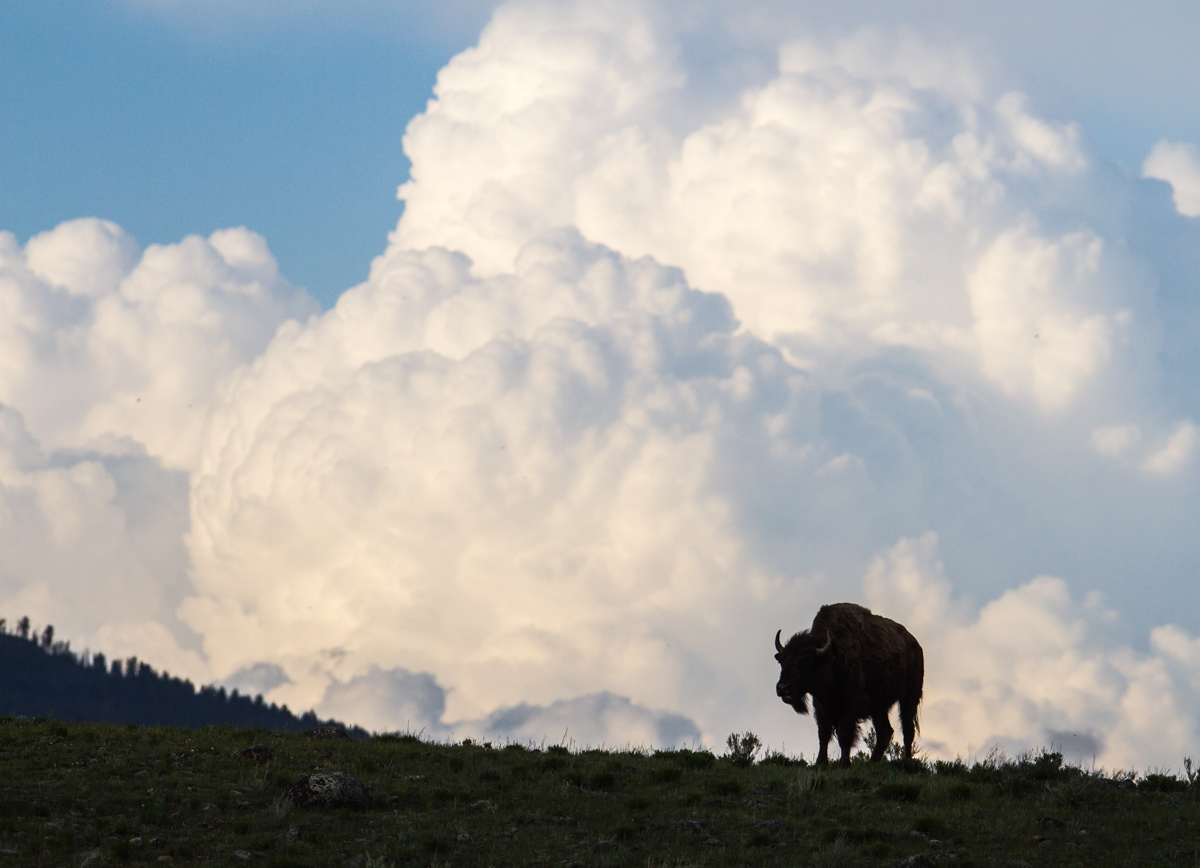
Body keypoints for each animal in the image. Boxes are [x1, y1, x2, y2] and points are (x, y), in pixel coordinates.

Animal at [774, 602, 923, 767]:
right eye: (782, 661)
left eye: (806, 661)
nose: (782, 688)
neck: (830, 657)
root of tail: (915, 645)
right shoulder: (821, 708)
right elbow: (824, 734)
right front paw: (820, 762)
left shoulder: (849, 709)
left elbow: (844, 736)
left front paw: (844, 764)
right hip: (879, 707)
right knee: (885, 731)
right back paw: (872, 761)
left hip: (909, 698)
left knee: (907, 730)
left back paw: (907, 762)